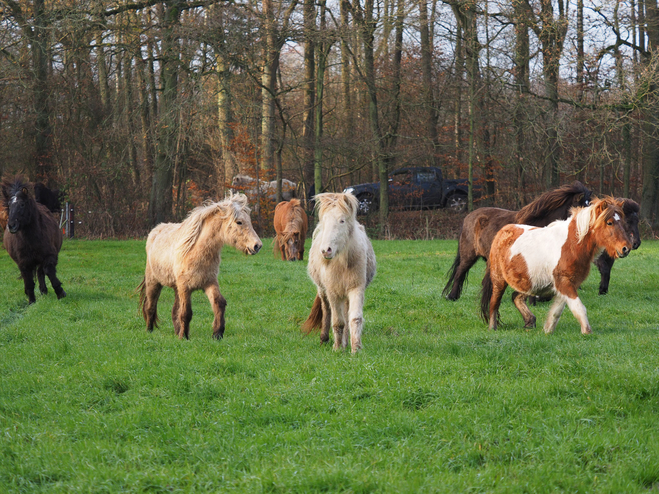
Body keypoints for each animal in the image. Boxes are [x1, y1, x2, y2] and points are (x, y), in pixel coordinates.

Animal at [138, 193, 262, 340]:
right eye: (239, 222)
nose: (257, 245)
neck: (195, 252)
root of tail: (155, 230)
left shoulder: (209, 282)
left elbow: (219, 303)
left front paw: (217, 334)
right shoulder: (185, 287)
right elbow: (186, 312)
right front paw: (184, 337)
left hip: (176, 288)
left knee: (174, 311)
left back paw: (176, 332)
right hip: (154, 282)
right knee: (150, 307)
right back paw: (149, 331)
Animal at [300, 192, 374, 352]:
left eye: (342, 221)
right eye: (325, 221)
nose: (325, 250)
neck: (343, 263)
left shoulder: (356, 288)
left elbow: (354, 318)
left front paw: (356, 349)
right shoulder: (332, 292)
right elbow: (337, 321)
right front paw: (337, 348)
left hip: (344, 294)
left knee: (346, 314)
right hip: (323, 290)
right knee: (326, 310)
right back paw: (324, 339)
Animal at [480, 199, 636, 334]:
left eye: (622, 222)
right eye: (609, 223)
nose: (626, 248)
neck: (572, 245)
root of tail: (502, 231)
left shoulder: (567, 285)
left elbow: (557, 311)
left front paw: (548, 330)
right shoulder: (564, 283)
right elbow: (579, 308)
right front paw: (587, 331)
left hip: (531, 283)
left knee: (516, 297)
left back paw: (530, 321)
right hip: (499, 280)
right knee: (494, 303)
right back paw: (493, 327)